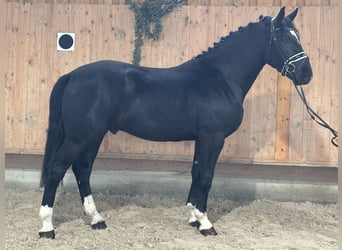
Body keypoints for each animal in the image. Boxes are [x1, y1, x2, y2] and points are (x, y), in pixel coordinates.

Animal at [38, 7, 312, 238]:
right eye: (284, 39)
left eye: (298, 36)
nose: (306, 74)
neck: (221, 77)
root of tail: (72, 75)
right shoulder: (213, 137)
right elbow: (207, 176)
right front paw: (206, 223)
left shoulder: (202, 138)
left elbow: (196, 172)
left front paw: (193, 217)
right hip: (79, 137)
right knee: (57, 169)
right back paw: (47, 227)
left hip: (93, 136)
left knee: (82, 169)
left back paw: (96, 219)